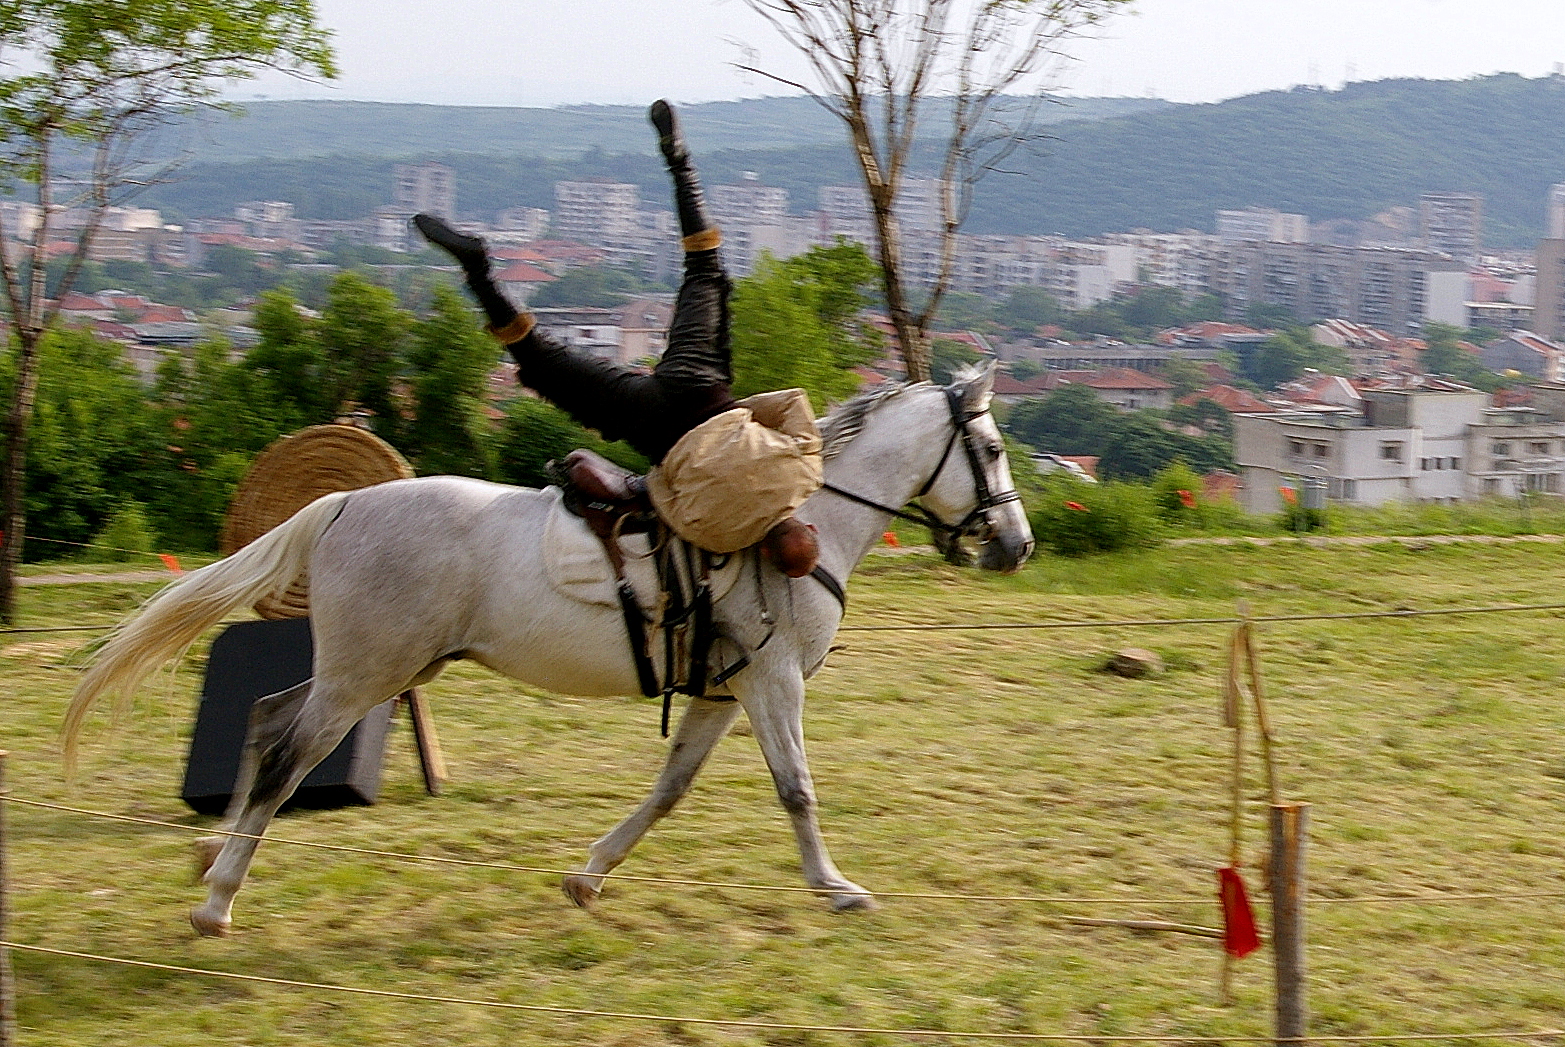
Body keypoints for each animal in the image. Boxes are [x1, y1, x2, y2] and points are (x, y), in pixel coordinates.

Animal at [67, 363, 1032, 932]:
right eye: (987, 447)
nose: (1014, 545)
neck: (806, 522)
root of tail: (343, 503)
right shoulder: (772, 679)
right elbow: (796, 789)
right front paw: (834, 885)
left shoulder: (721, 693)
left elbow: (668, 791)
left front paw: (589, 876)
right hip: (365, 675)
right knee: (287, 756)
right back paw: (218, 900)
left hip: (372, 670)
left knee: (268, 715)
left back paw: (212, 859)